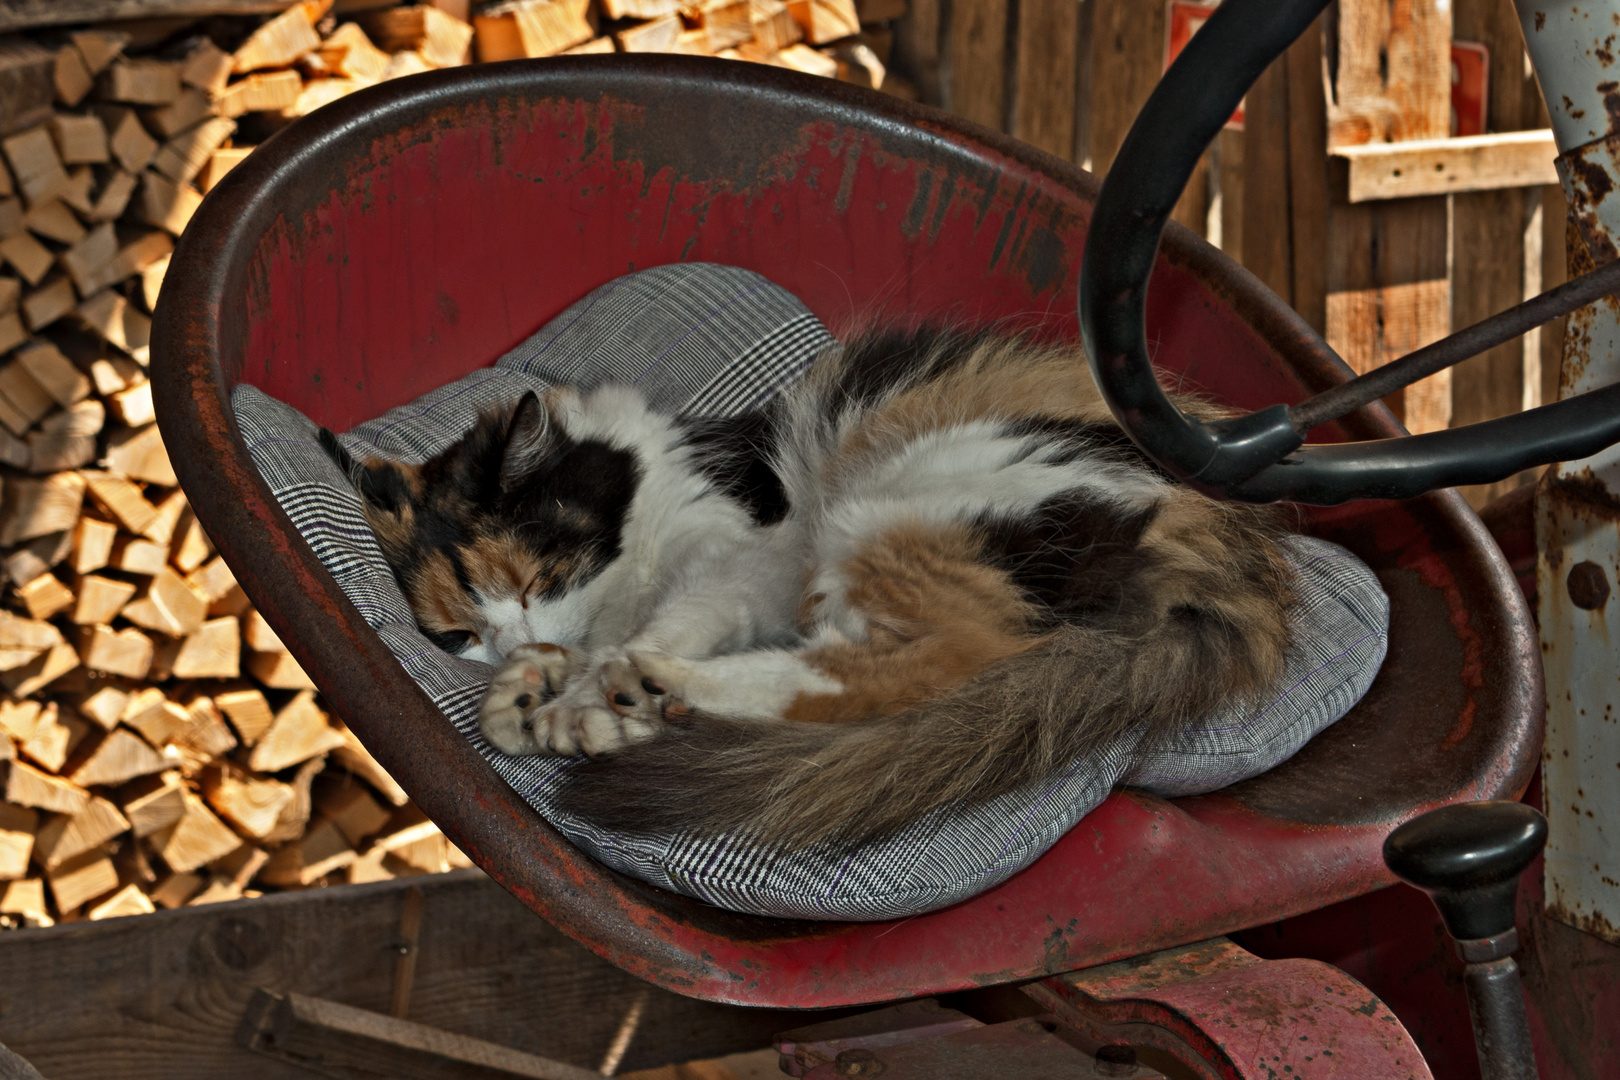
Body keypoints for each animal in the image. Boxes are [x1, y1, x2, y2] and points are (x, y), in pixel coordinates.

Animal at [322, 325, 1296, 848]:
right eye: (458, 632)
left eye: (531, 579)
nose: (515, 642)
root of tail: (1230, 556)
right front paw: (538, 690)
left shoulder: (748, 554)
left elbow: (658, 624)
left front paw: (579, 695)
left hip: (898, 506)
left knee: (925, 665)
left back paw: (654, 690)